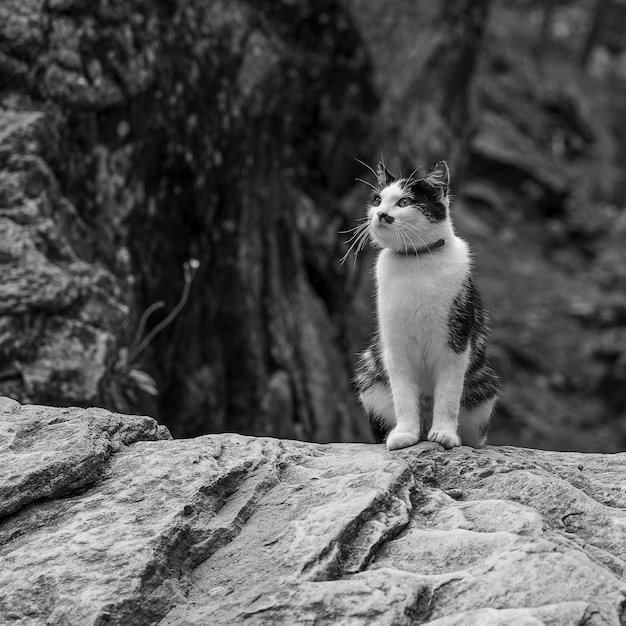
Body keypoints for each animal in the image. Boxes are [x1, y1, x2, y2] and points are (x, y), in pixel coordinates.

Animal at [348, 158, 500, 446]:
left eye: (405, 202)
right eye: (377, 200)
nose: (380, 214)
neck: (416, 259)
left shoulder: (456, 340)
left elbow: (449, 393)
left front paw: (444, 433)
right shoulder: (394, 344)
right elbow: (403, 394)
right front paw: (404, 433)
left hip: (484, 385)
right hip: (368, 374)